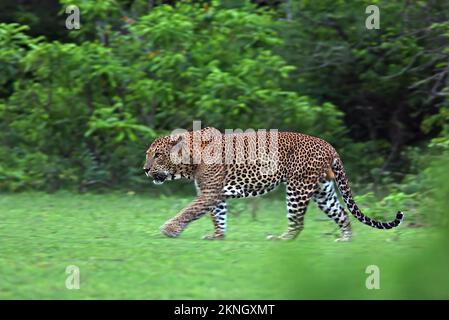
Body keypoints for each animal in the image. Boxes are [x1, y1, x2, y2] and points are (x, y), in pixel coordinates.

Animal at [144, 127, 402, 240]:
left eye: (157, 155)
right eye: (149, 155)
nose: (145, 169)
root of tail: (329, 146)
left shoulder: (209, 193)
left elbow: (188, 211)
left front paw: (169, 229)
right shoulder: (215, 194)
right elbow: (218, 216)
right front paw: (218, 236)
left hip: (297, 187)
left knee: (297, 222)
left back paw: (282, 238)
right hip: (323, 191)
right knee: (342, 213)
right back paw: (345, 239)